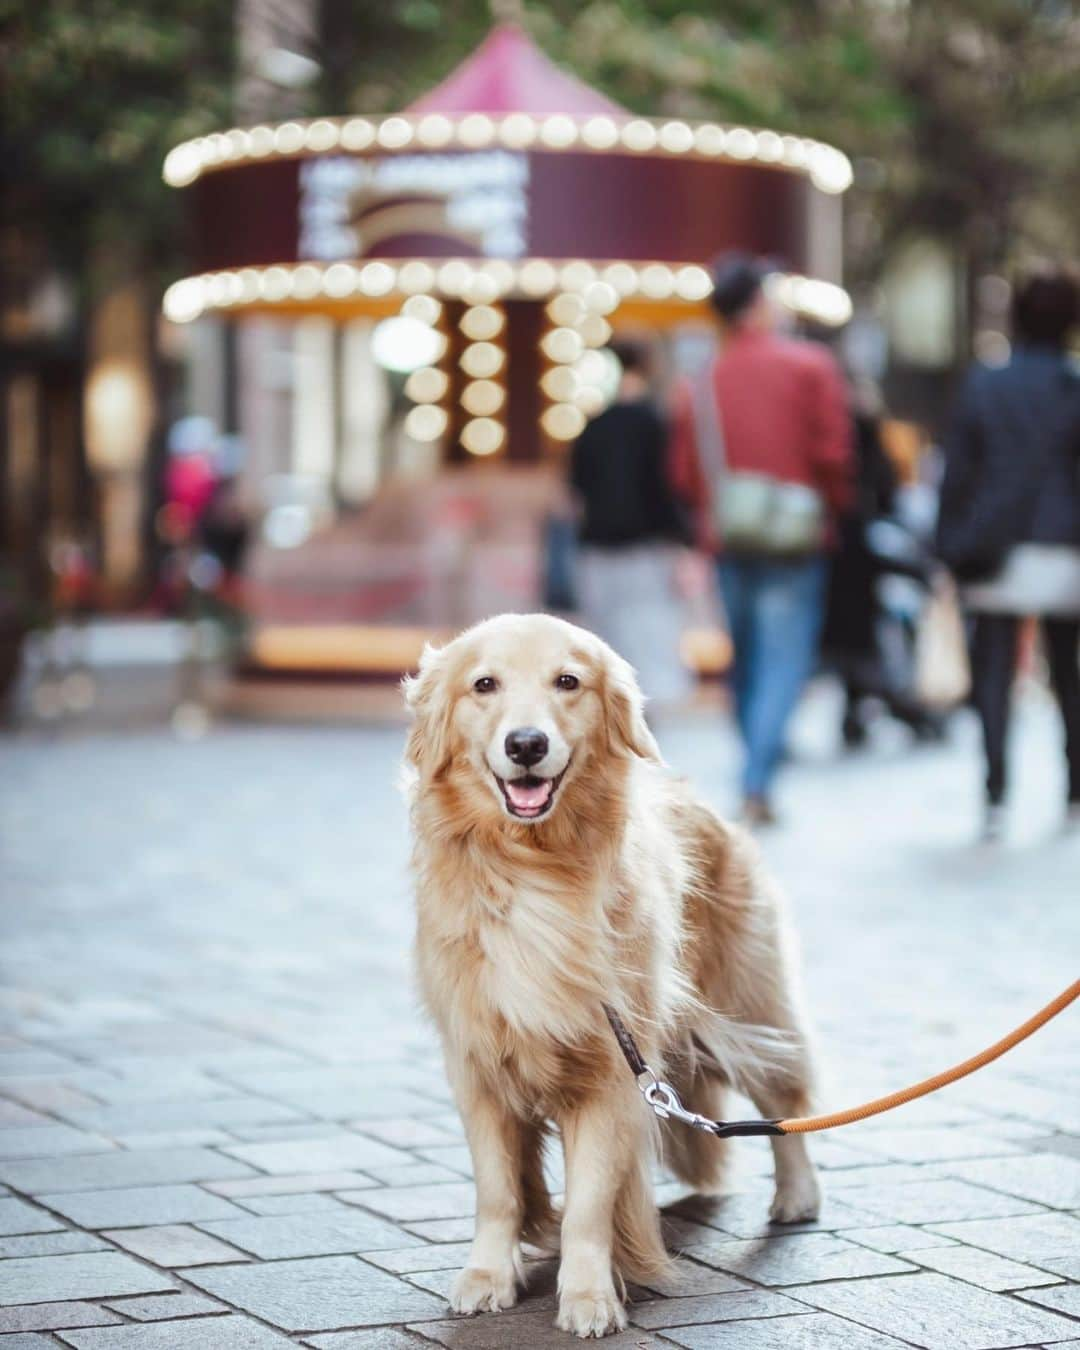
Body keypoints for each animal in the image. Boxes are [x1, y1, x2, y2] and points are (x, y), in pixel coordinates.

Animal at [402, 615, 820, 1339]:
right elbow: (498, 1189)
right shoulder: (478, 1064)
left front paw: (589, 1294)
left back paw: (797, 1196)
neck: (531, 869)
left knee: (785, 1098)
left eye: (568, 681)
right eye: (484, 685)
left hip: (746, 1004)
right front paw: (488, 1275)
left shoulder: (611, 1073)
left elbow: (592, 1202)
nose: (527, 743)